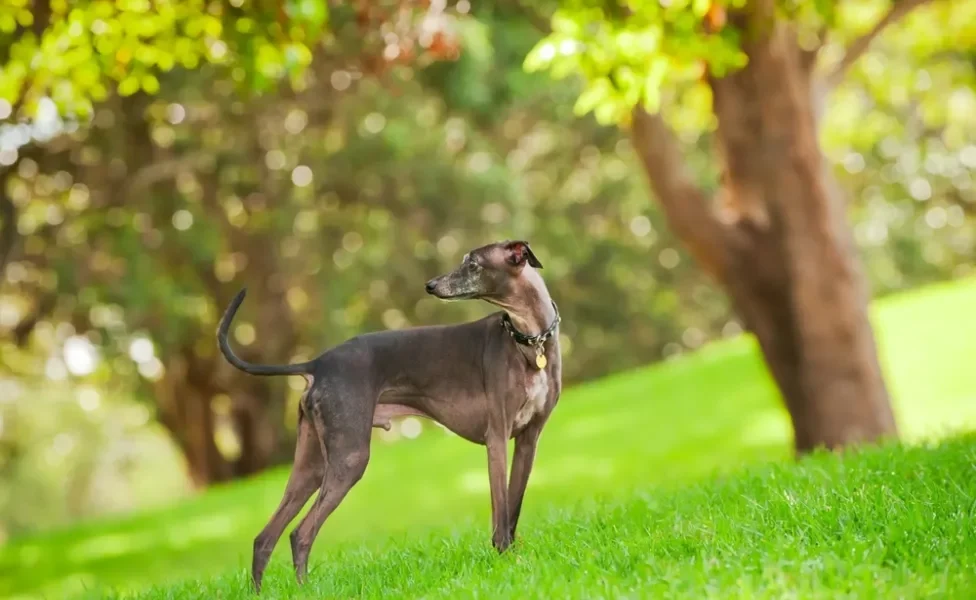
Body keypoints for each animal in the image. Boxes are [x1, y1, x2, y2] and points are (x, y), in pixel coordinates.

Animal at [216, 239, 560, 592]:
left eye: (473, 264)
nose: (431, 285)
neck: (528, 341)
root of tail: (318, 363)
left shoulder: (529, 440)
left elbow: (514, 506)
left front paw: (515, 558)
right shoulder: (497, 439)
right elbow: (501, 509)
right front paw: (505, 558)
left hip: (312, 467)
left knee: (264, 538)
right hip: (349, 458)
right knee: (300, 533)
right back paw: (306, 590)